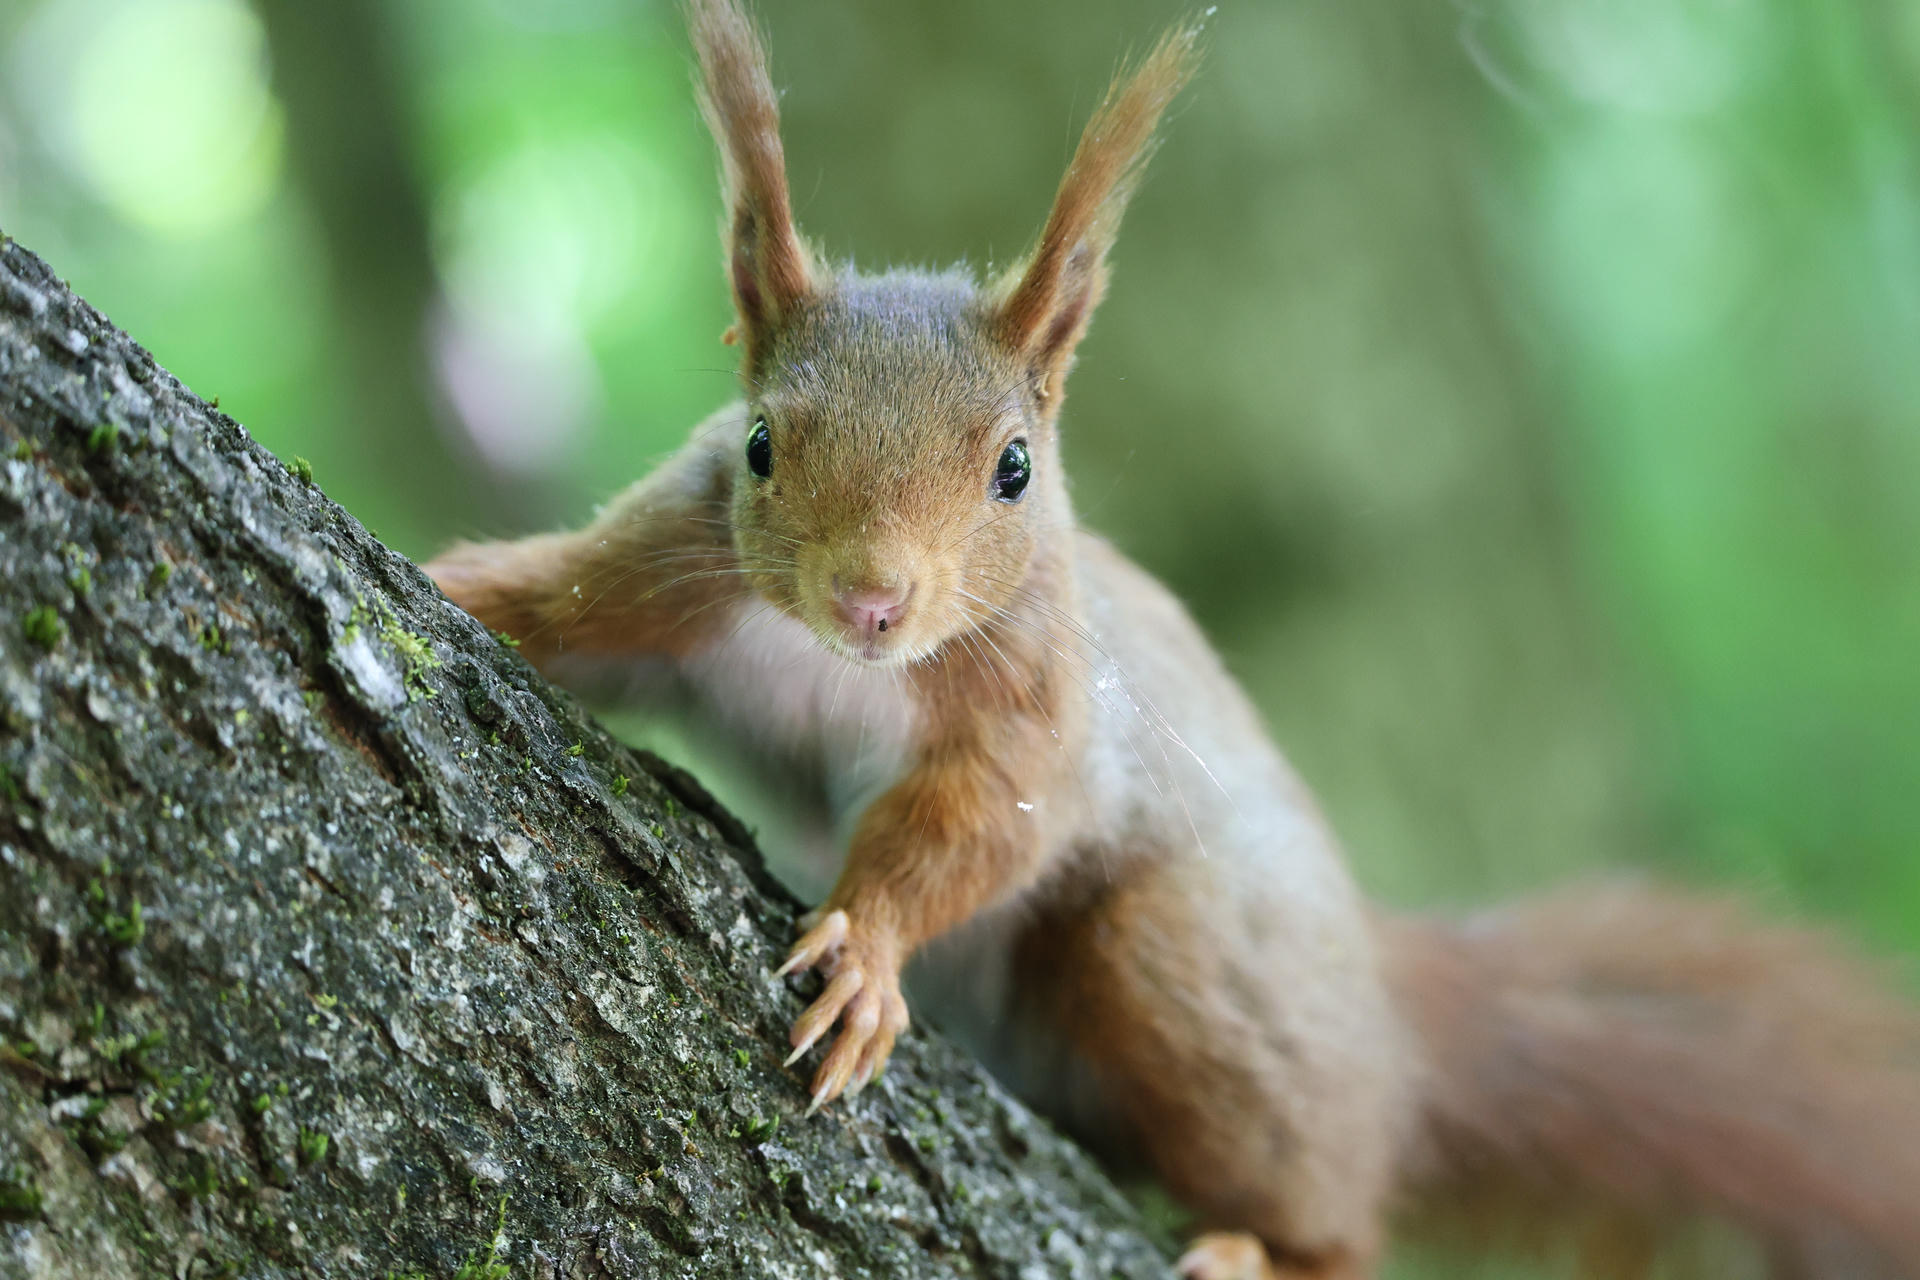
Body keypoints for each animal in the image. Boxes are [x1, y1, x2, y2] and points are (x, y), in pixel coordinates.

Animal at [425, 2, 1920, 1276]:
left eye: (1016, 470)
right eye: (757, 446)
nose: (871, 603)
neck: (834, 671)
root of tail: (1387, 1017)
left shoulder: (1039, 710)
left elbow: (980, 828)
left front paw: (866, 948)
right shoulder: (664, 577)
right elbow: (551, 604)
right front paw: (450, 585)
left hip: (1187, 971)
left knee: (1332, 1205)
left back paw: (1268, 1247)